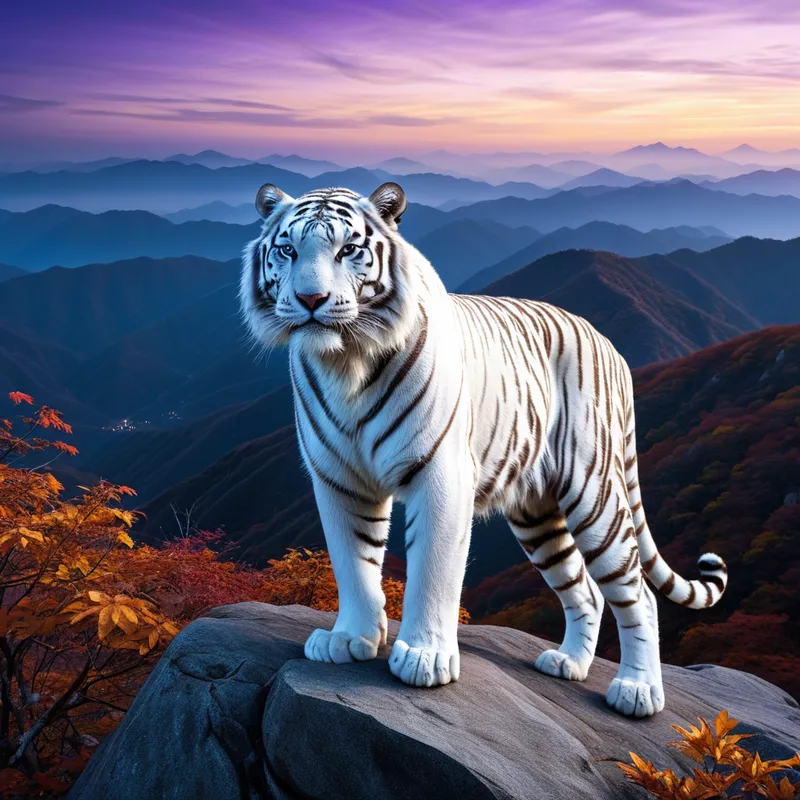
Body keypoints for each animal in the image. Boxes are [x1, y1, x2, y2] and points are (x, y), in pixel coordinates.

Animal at [239, 180, 728, 717]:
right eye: (288, 249)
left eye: (348, 249)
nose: (311, 298)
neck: (346, 361)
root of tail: (611, 347)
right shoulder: (338, 478)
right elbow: (353, 562)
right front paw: (350, 638)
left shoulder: (440, 474)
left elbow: (433, 568)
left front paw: (425, 657)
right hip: (538, 514)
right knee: (585, 591)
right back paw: (568, 663)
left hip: (593, 493)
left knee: (638, 594)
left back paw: (638, 691)